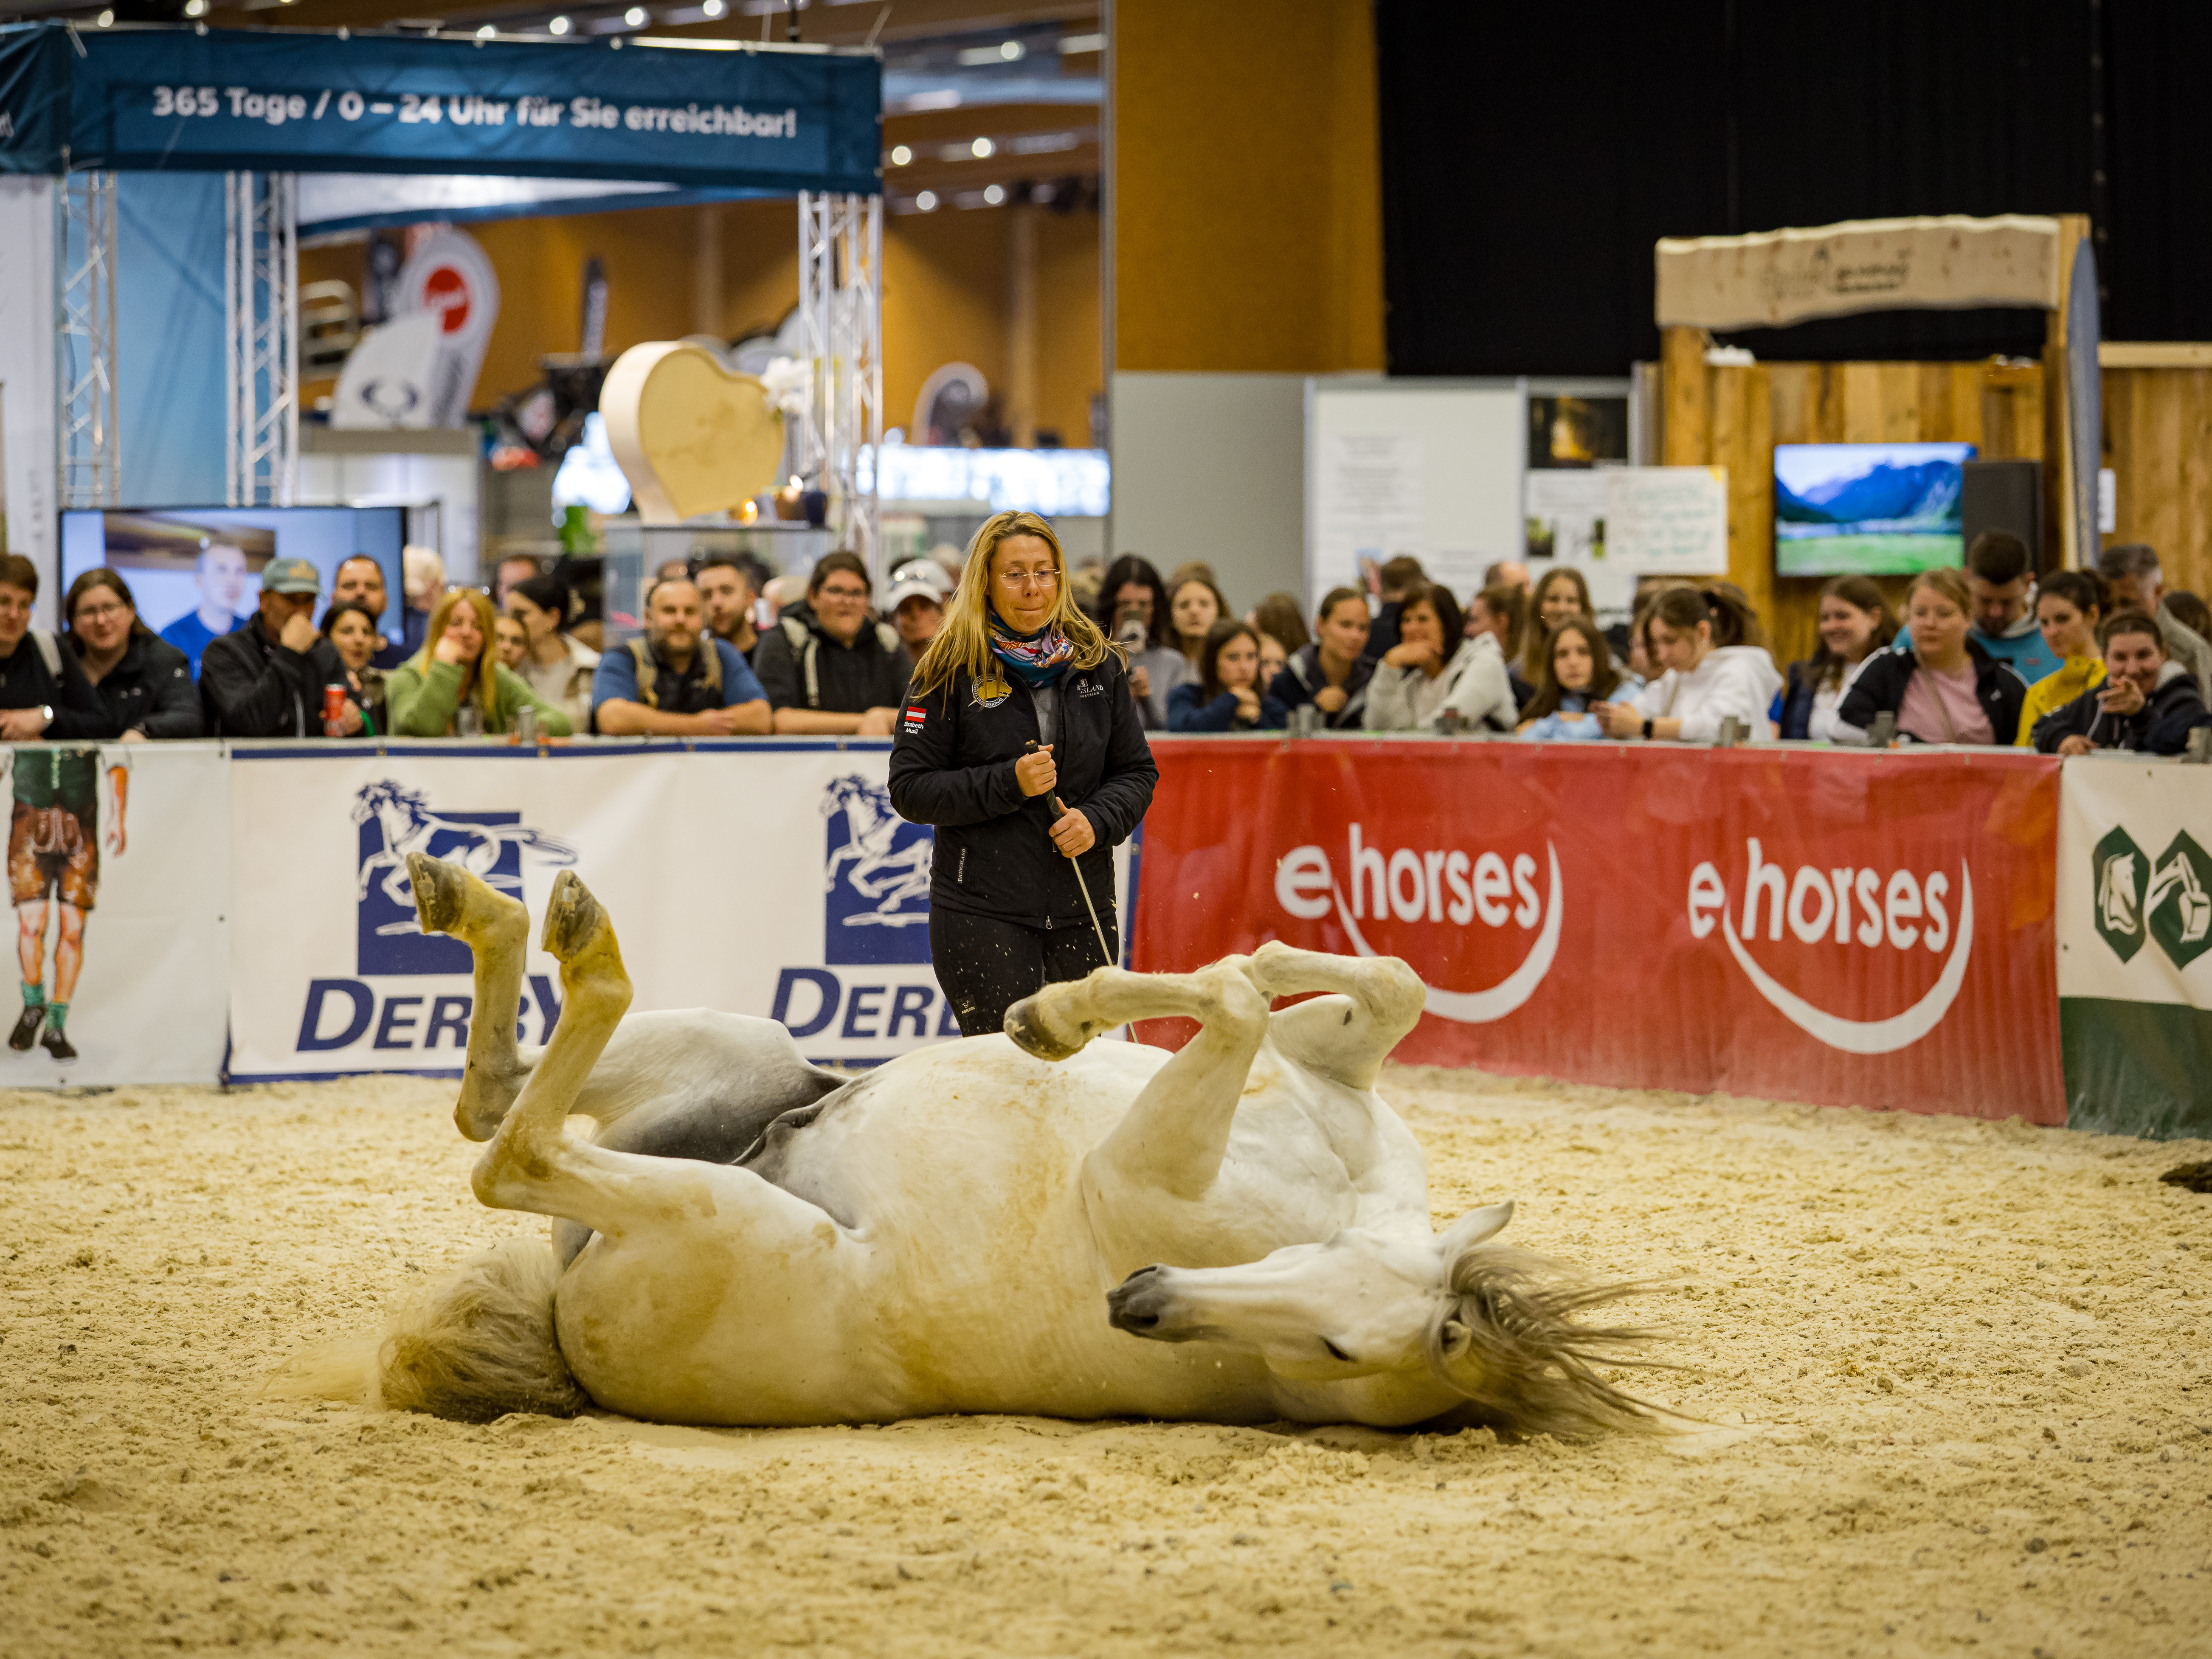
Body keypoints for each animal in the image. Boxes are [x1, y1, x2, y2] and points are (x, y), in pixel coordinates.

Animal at [284, 853, 1657, 1436]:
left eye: (1340, 1349)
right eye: (1322, 1309)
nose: (1140, 1300)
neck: (1319, 1206)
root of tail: (562, 1341)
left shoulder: (1134, 1174)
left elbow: (1231, 1001)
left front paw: (1057, 1011)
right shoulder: (1332, 1079)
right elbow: (1343, 984)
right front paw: (1068, 1007)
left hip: (731, 1218)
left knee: (507, 1150)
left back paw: (569, 936)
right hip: (742, 1057)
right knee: (492, 1098)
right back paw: (491, 903)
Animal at [351, 780, 578, 936]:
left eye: (368, 800)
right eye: (360, 798)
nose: (354, 817)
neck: (406, 830)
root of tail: (491, 834)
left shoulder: (403, 863)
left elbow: (387, 882)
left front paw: (407, 900)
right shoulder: (392, 858)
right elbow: (370, 862)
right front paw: (362, 892)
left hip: (472, 867)